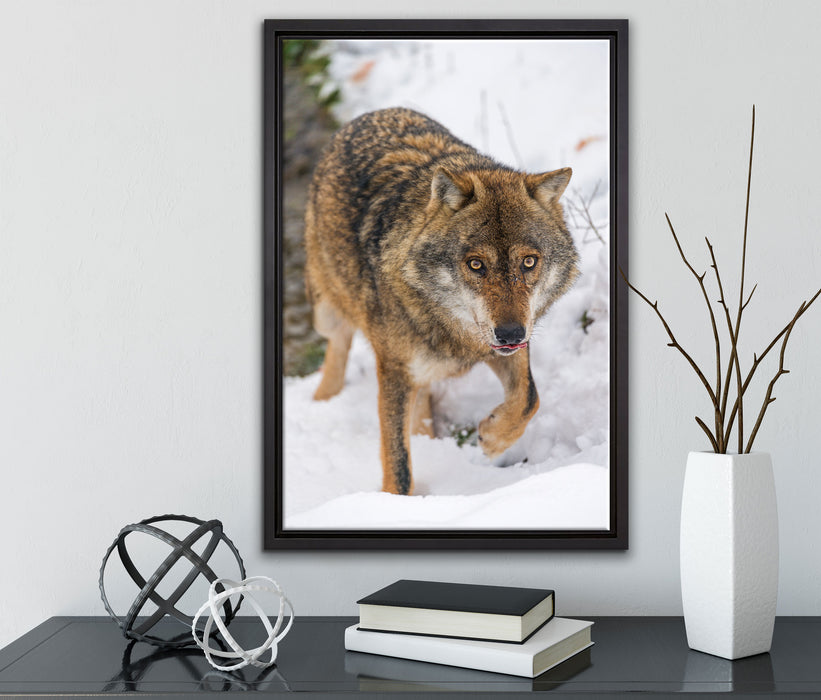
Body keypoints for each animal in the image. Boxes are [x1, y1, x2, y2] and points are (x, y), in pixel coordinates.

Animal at [304, 107, 579, 495]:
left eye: (528, 262)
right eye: (475, 264)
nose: (510, 333)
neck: (450, 330)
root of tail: (371, 115)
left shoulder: (506, 346)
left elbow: (528, 397)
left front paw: (493, 437)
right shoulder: (394, 371)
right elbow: (398, 463)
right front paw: (393, 502)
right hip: (327, 310)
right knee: (337, 347)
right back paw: (322, 400)